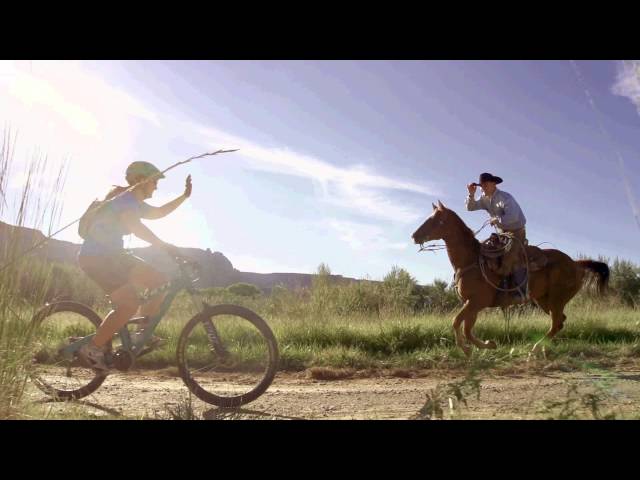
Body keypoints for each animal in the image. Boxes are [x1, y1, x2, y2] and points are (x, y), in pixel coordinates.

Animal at [412, 200, 608, 356]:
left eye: (435, 220)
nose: (414, 236)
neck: (471, 260)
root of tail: (575, 263)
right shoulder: (471, 304)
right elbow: (467, 328)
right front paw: (488, 345)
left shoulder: (476, 302)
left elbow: (456, 322)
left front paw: (468, 349)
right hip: (544, 300)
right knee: (559, 322)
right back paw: (544, 349)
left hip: (556, 299)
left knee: (556, 323)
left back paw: (535, 349)